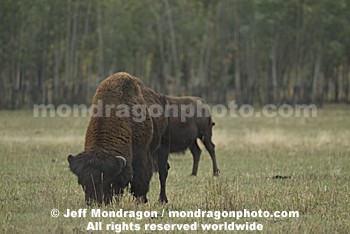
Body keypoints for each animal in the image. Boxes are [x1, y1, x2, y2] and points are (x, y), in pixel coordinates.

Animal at [68, 72, 170, 205]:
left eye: (107, 182)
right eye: (82, 183)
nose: (94, 203)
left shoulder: (142, 156)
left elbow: (140, 181)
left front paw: (141, 201)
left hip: (162, 148)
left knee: (163, 172)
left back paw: (163, 200)